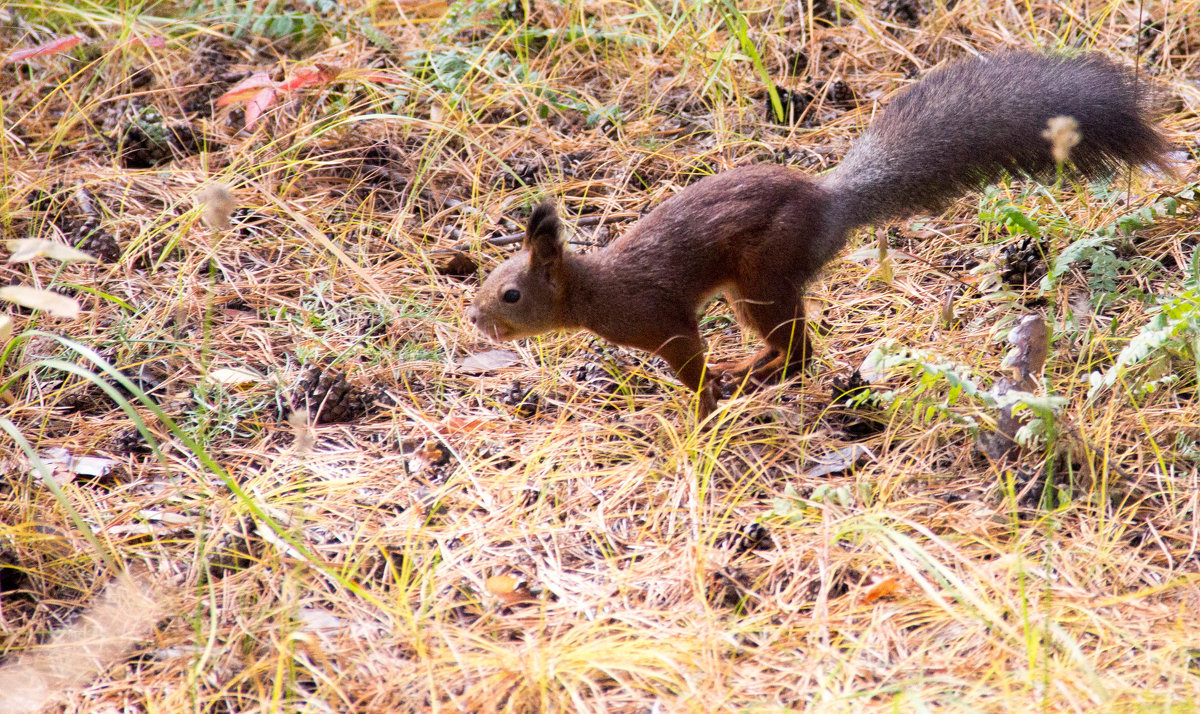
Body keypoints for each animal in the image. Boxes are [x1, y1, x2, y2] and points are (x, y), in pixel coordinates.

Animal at [468, 53, 1171, 420]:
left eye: (510, 295)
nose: (474, 320)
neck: (593, 288)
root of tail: (830, 203)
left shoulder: (660, 318)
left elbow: (690, 363)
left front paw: (703, 409)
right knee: (796, 348)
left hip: (762, 278)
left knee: (798, 352)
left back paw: (747, 375)